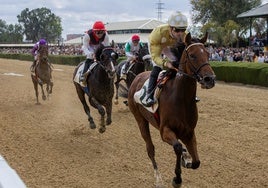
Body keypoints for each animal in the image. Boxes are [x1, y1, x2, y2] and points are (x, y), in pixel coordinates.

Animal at [127, 32, 216, 188]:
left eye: (207, 54)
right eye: (192, 55)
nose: (209, 79)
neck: (181, 98)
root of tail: (137, 77)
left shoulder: (189, 132)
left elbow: (196, 162)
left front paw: (187, 159)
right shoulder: (165, 131)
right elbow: (178, 147)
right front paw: (177, 179)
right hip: (140, 120)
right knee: (150, 149)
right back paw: (158, 178)